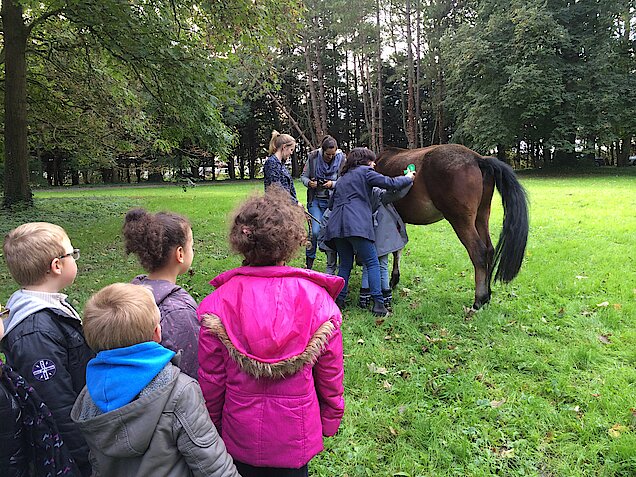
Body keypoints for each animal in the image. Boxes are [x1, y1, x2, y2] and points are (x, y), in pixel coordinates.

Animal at [376, 144, 528, 308]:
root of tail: (478, 159)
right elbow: (398, 249)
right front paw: (394, 279)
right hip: (482, 216)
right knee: (489, 250)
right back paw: (487, 295)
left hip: (460, 221)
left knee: (479, 252)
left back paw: (479, 299)